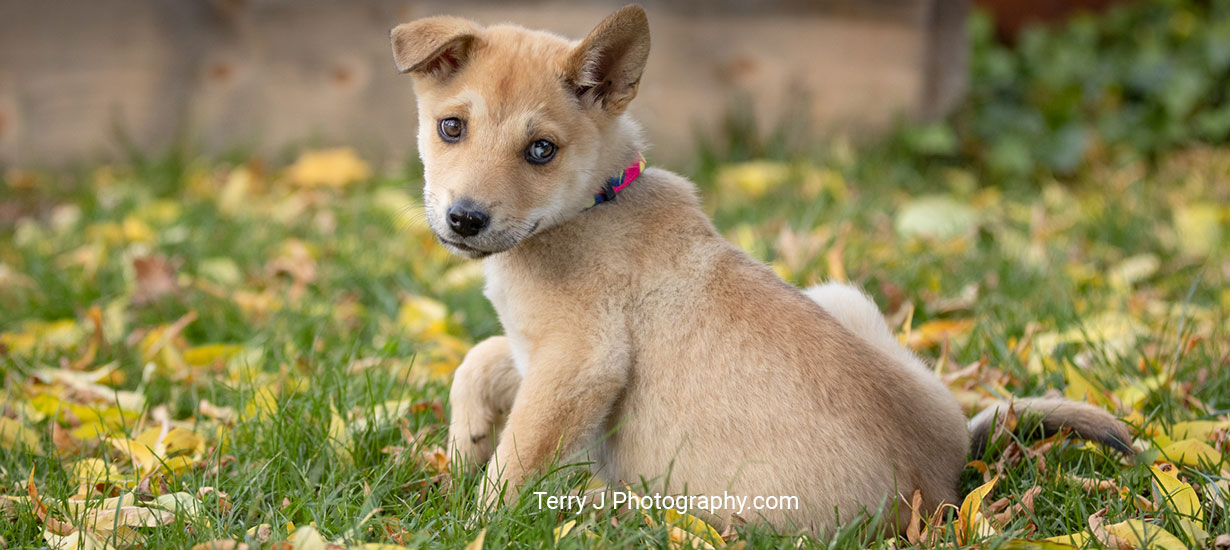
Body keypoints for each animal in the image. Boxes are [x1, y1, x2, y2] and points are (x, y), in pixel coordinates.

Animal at [388, 6, 1126, 536]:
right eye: (451, 128)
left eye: (540, 150)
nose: (464, 220)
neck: (595, 202)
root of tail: (944, 490)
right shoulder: (540, 352)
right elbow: (482, 357)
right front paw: (465, 439)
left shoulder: (580, 362)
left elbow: (515, 463)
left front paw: (471, 521)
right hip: (842, 297)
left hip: (705, 508)